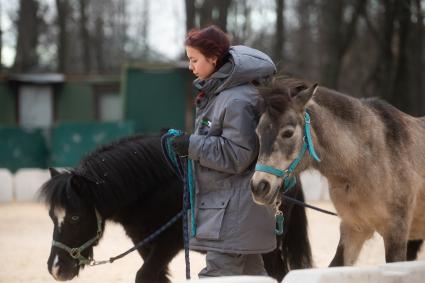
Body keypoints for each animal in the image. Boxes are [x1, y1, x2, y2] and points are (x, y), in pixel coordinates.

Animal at [39, 134, 312, 282]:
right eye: (52, 217)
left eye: (75, 217)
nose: (56, 268)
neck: (157, 186)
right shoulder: (145, 243)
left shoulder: (168, 243)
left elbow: (144, 276)